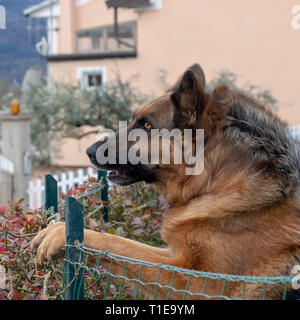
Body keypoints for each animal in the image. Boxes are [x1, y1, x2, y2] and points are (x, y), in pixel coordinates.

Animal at [31, 63, 300, 298]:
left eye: (147, 125)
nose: (89, 151)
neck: (218, 183)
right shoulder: (174, 256)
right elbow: (129, 247)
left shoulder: (196, 280)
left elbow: (119, 245)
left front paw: (59, 233)